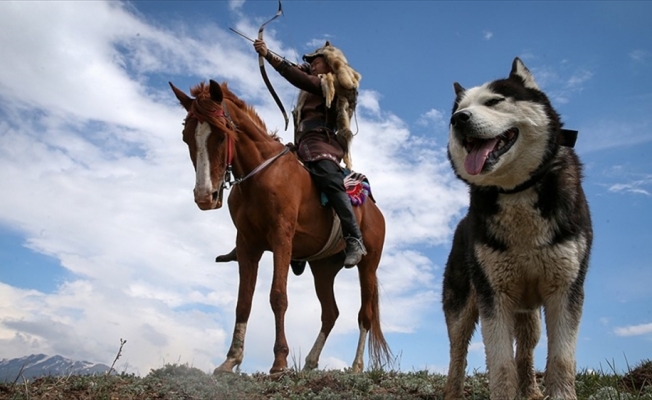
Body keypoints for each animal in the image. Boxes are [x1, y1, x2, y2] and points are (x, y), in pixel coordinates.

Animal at [171, 79, 390, 374]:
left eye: (221, 135)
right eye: (187, 137)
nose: (205, 196)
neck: (260, 174)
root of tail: (375, 210)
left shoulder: (281, 239)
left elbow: (278, 296)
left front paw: (279, 362)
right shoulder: (248, 246)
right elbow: (243, 301)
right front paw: (231, 360)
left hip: (368, 264)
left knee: (364, 314)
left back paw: (356, 366)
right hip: (323, 268)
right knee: (330, 313)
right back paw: (310, 362)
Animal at [444, 58, 592, 400]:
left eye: (494, 101)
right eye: (459, 110)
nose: (458, 120)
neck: (517, 191)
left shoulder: (565, 290)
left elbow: (561, 359)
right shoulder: (494, 296)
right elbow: (500, 363)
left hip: (529, 314)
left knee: (526, 350)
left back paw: (531, 390)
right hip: (462, 306)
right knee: (457, 351)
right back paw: (452, 392)